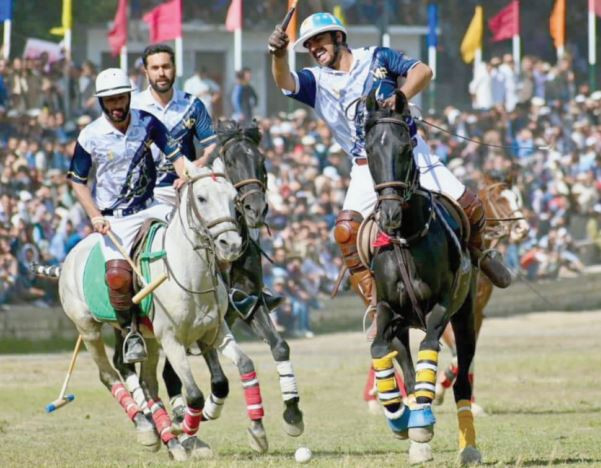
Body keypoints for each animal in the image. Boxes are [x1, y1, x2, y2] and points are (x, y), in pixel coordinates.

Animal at [59, 161, 247, 460]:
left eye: (233, 198)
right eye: (201, 198)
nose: (231, 245)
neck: (189, 273)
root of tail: (74, 252)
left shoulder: (212, 331)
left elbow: (222, 380)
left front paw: (185, 430)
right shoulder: (171, 339)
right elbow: (194, 393)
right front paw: (182, 426)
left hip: (143, 335)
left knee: (141, 377)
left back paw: (168, 439)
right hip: (87, 327)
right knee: (108, 374)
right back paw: (146, 428)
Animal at [434, 179, 528, 410]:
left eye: (517, 197)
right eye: (499, 199)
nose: (522, 229)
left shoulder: (477, 313)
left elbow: (467, 357)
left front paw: (470, 403)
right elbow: (458, 355)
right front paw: (439, 391)